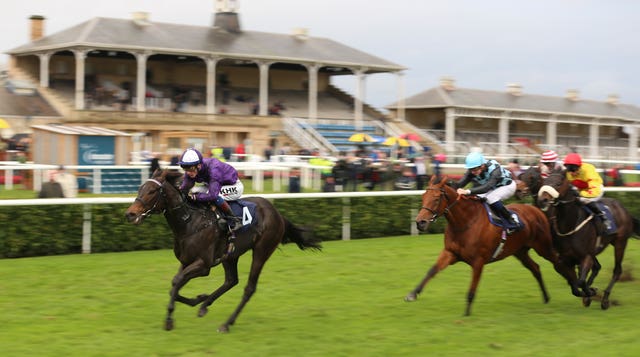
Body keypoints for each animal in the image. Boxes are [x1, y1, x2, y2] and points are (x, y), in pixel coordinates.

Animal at [124, 169, 320, 330]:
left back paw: (227, 323)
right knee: (231, 280)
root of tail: (278, 214)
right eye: (140, 189)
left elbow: (176, 281)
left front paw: (169, 320)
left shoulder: (203, 265)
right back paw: (205, 305)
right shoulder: (186, 261)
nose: (130, 214)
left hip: (262, 250)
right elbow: (174, 286)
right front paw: (198, 299)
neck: (189, 222)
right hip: (231, 254)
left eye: (151, 191)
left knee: (249, 288)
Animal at [404, 175, 576, 314]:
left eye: (436, 199)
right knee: (536, 268)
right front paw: (412, 294)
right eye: (423, 196)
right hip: (520, 251)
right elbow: (432, 271)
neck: (465, 222)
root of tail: (536, 210)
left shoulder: (478, 261)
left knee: (559, 263)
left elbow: (471, 290)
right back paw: (547, 297)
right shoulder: (450, 253)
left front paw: (466, 315)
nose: (420, 222)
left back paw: (578, 288)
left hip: (543, 247)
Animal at [536, 171, 636, 308]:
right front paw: (588, 293)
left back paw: (605, 300)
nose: (542, 200)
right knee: (597, 267)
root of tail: (623, 208)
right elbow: (574, 285)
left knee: (617, 271)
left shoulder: (586, 256)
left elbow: (581, 281)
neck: (570, 225)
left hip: (620, 243)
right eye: (544, 182)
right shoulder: (564, 260)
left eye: (558, 183)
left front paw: (591, 291)